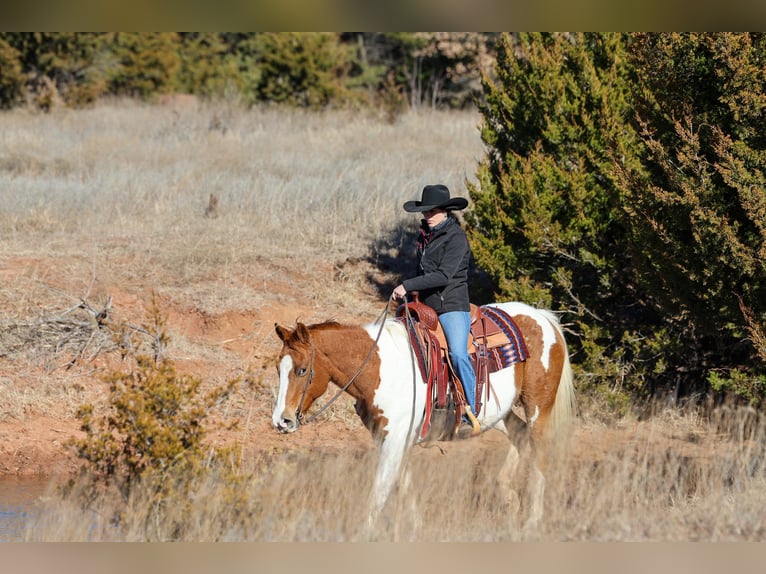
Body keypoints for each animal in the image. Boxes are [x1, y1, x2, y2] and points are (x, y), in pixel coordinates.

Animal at [272, 301, 576, 530]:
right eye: (278, 368)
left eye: (301, 370)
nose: (281, 420)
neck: (380, 367)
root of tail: (544, 318)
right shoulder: (393, 440)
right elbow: (403, 486)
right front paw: (417, 527)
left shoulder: (394, 441)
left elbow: (379, 491)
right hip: (499, 415)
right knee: (520, 434)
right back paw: (508, 494)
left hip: (538, 407)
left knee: (538, 451)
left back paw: (533, 519)